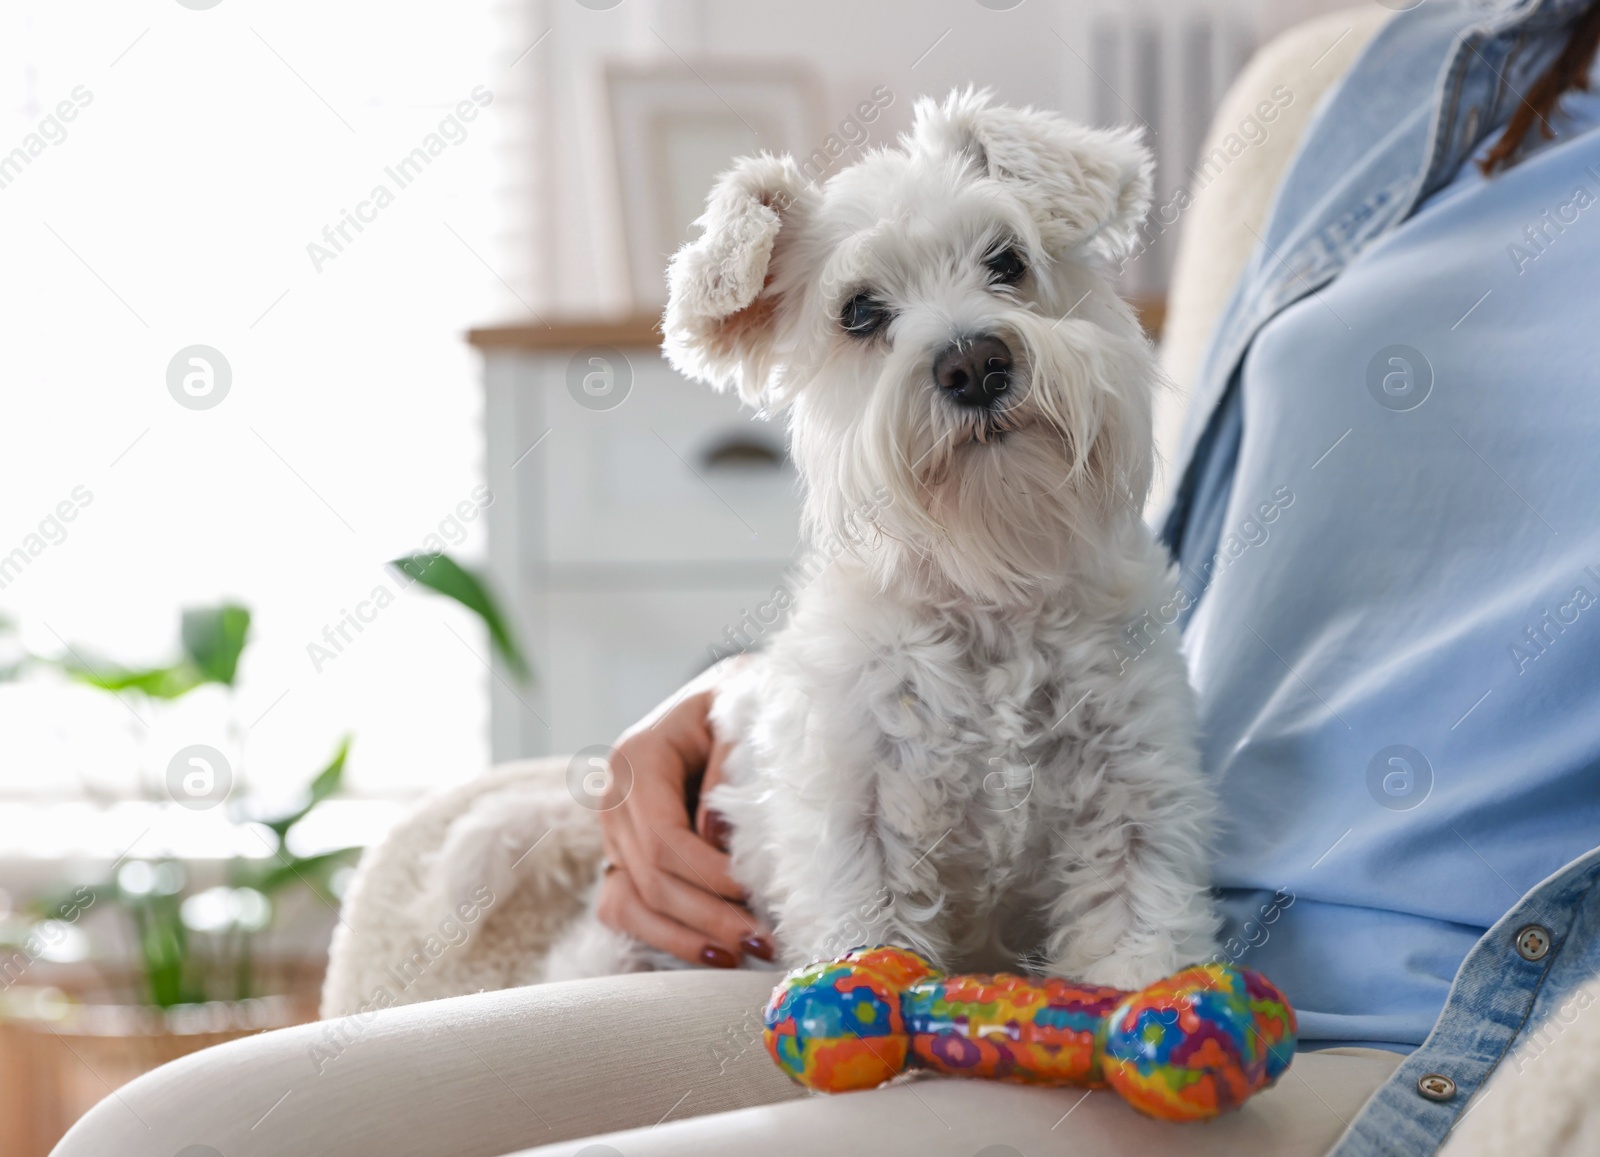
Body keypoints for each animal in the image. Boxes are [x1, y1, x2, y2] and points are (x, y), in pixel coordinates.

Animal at [544, 90, 1203, 992]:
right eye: (859, 312)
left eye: (1007, 260)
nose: (974, 362)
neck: (990, 574)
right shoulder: (856, 821)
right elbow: (869, 928)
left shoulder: (1135, 798)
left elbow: (1133, 939)